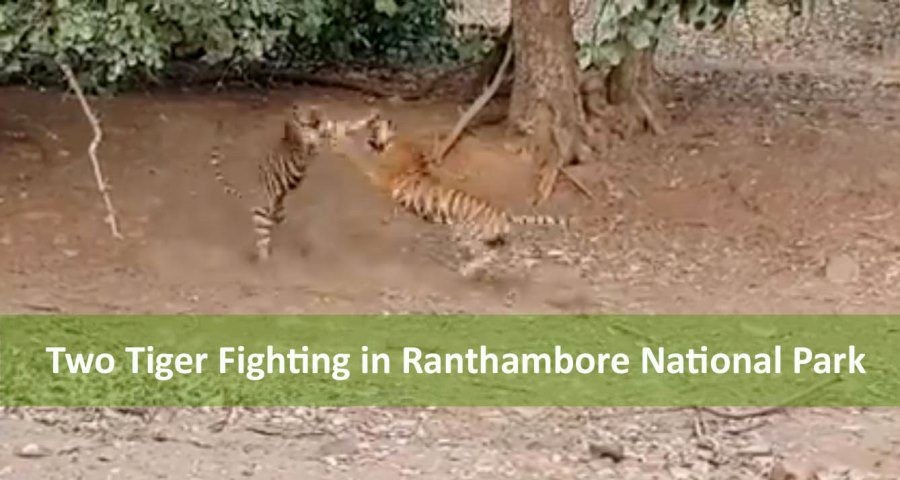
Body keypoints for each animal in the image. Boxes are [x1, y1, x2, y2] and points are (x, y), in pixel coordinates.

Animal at [210, 102, 378, 261]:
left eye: (315, 110)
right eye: (308, 112)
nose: (317, 115)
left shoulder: (329, 128)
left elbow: (350, 124)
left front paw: (372, 117)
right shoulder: (307, 145)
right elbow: (315, 140)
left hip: (278, 212)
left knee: (280, 231)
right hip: (262, 217)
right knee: (263, 246)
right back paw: (268, 263)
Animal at [331, 116, 573, 277]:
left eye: (377, 125)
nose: (378, 118)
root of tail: (502, 213)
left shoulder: (378, 173)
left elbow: (354, 152)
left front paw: (338, 138)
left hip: (466, 232)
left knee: (488, 254)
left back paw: (467, 269)